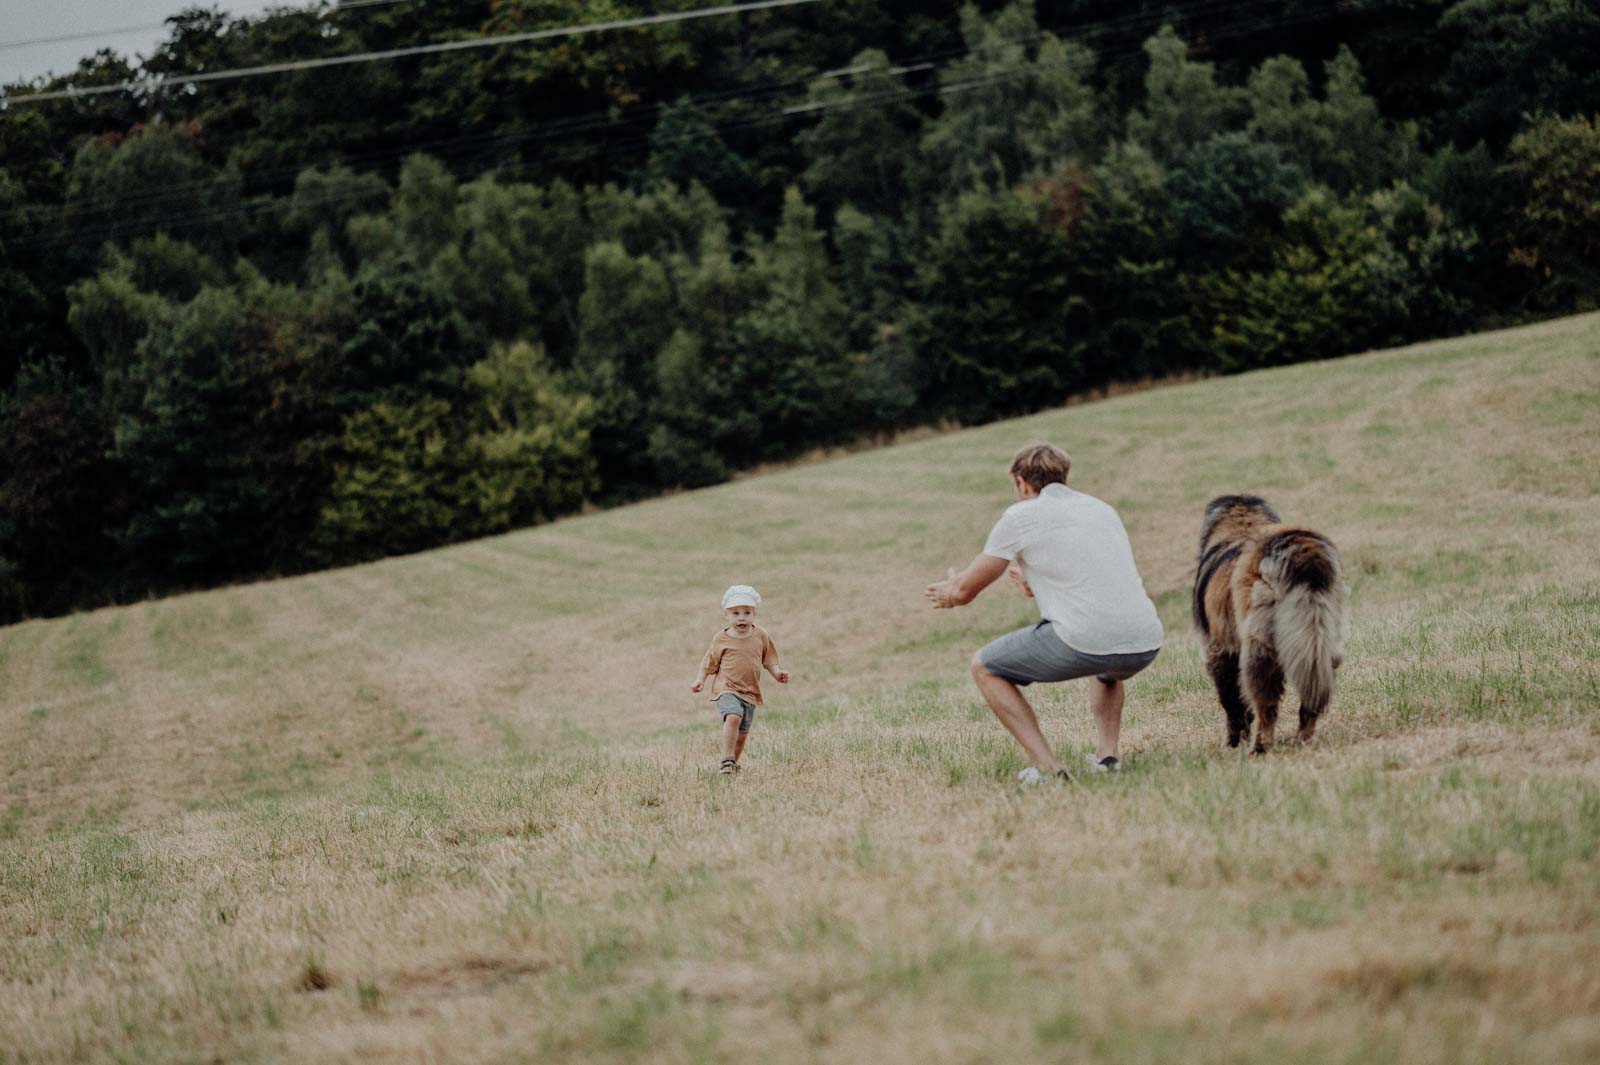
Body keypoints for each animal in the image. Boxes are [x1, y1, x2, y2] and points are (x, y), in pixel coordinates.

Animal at [1196, 492, 1344, 751]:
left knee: (1266, 704)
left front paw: (1234, 742)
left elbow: (1232, 702)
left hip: (1259, 647)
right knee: (1311, 696)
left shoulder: (1218, 649)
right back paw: (1302, 739)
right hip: (1322, 638)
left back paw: (1260, 747)